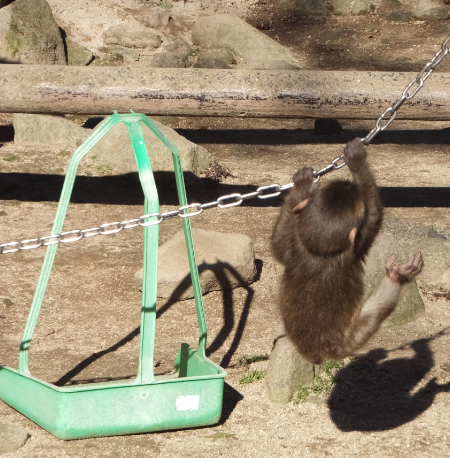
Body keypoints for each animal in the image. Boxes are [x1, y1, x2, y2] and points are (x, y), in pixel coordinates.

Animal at [272, 139, 424, 364]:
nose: (349, 184)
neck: (322, 253)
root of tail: (317, 353)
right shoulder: (358, 246)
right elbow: (375, 214)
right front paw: (357, 163)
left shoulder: (294, 248)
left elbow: (277, 245)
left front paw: (302, 186)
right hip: (347, 341)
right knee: (371, 315)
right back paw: (397, 277)